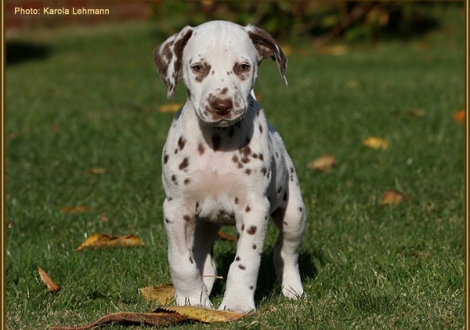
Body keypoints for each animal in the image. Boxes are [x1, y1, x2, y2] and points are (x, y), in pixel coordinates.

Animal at [154, 19, 306, 314]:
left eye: (243, 67)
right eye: (198, 67)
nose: (221, 105)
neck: (217, 143)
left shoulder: (254, 208)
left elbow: (245, 262)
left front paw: (237, 305)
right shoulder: (176, 209)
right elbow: (181, 262)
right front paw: (192, 301)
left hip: (294, 213)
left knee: (285, 252)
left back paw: (293, 289)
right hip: (202, 224)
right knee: (205, 260)